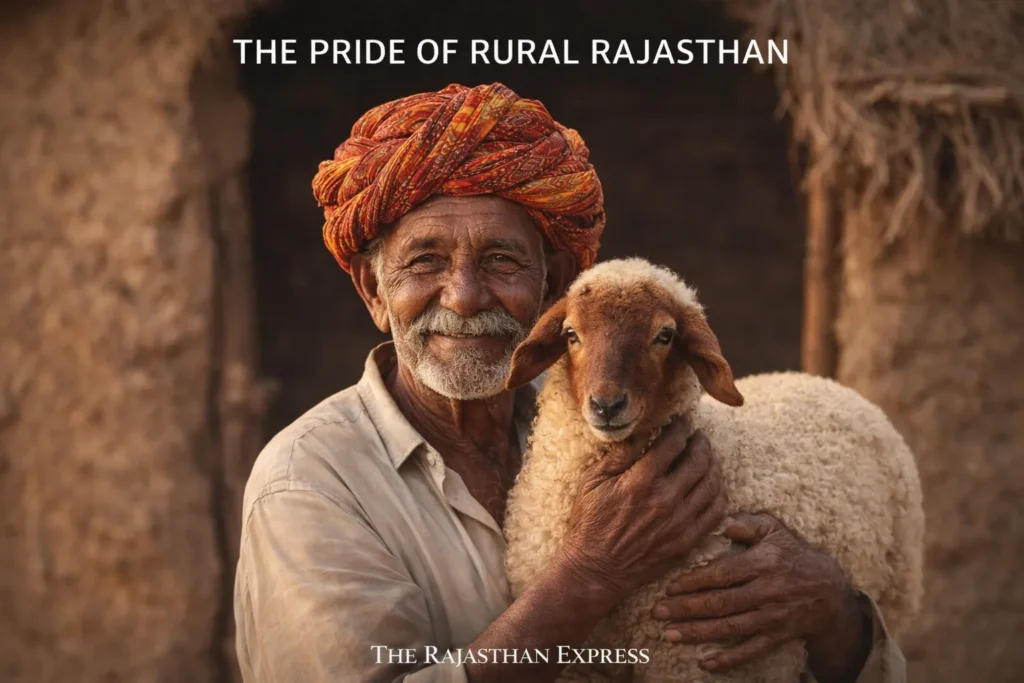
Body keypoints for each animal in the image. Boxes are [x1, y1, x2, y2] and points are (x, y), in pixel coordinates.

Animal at [502, 257, 925, 683]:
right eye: (571, 334)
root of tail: (824, 382)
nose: (607, 405)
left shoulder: (687, 657)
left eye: (665, 335)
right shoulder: (579, 662)